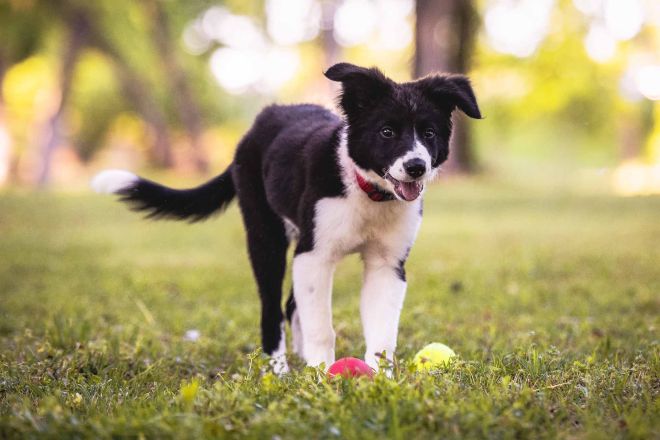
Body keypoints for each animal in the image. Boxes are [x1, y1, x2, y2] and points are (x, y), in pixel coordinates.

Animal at [90, 62, 480, 374]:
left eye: (429, 133)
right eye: (387, 131)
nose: (416, 167)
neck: (367, 192)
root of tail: (257, 126)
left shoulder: (386, 265)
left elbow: (382, 333)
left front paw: (380, 379)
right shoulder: (315, 255)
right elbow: (321, 326)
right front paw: (321, 377)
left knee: (293, 304)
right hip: (266, 238)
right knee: (272, 311)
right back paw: (277, 370)